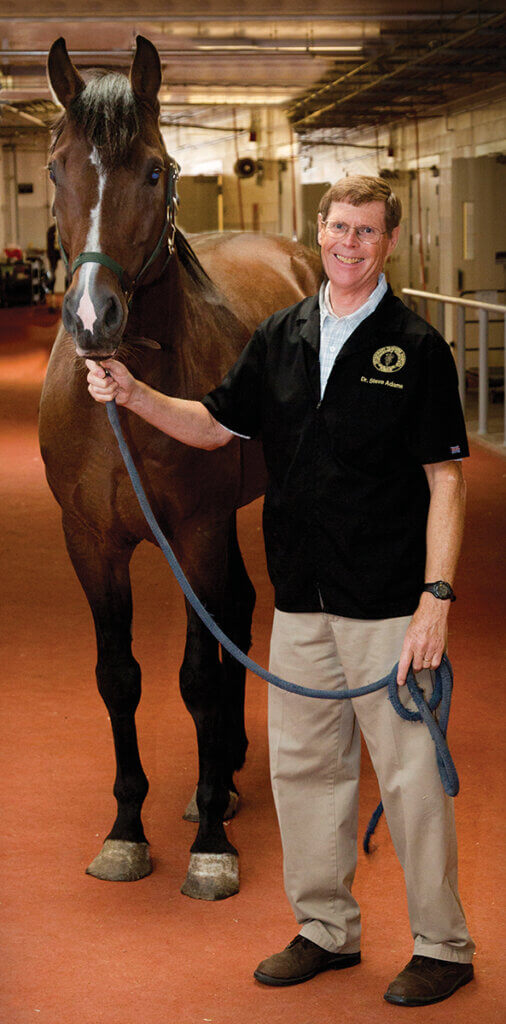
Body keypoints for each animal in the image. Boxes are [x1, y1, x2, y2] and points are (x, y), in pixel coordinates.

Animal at [39, 36, 319, 901]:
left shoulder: (194, 530)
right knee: (237, 604)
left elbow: (195, 675)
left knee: (235, 613)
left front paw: (212, 848)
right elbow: (119, 677)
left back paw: (219, 783)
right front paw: (127, 831)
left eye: (157, 170)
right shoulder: (89, 544)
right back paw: (221, 774)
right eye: (56, 167)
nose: (93, 317)